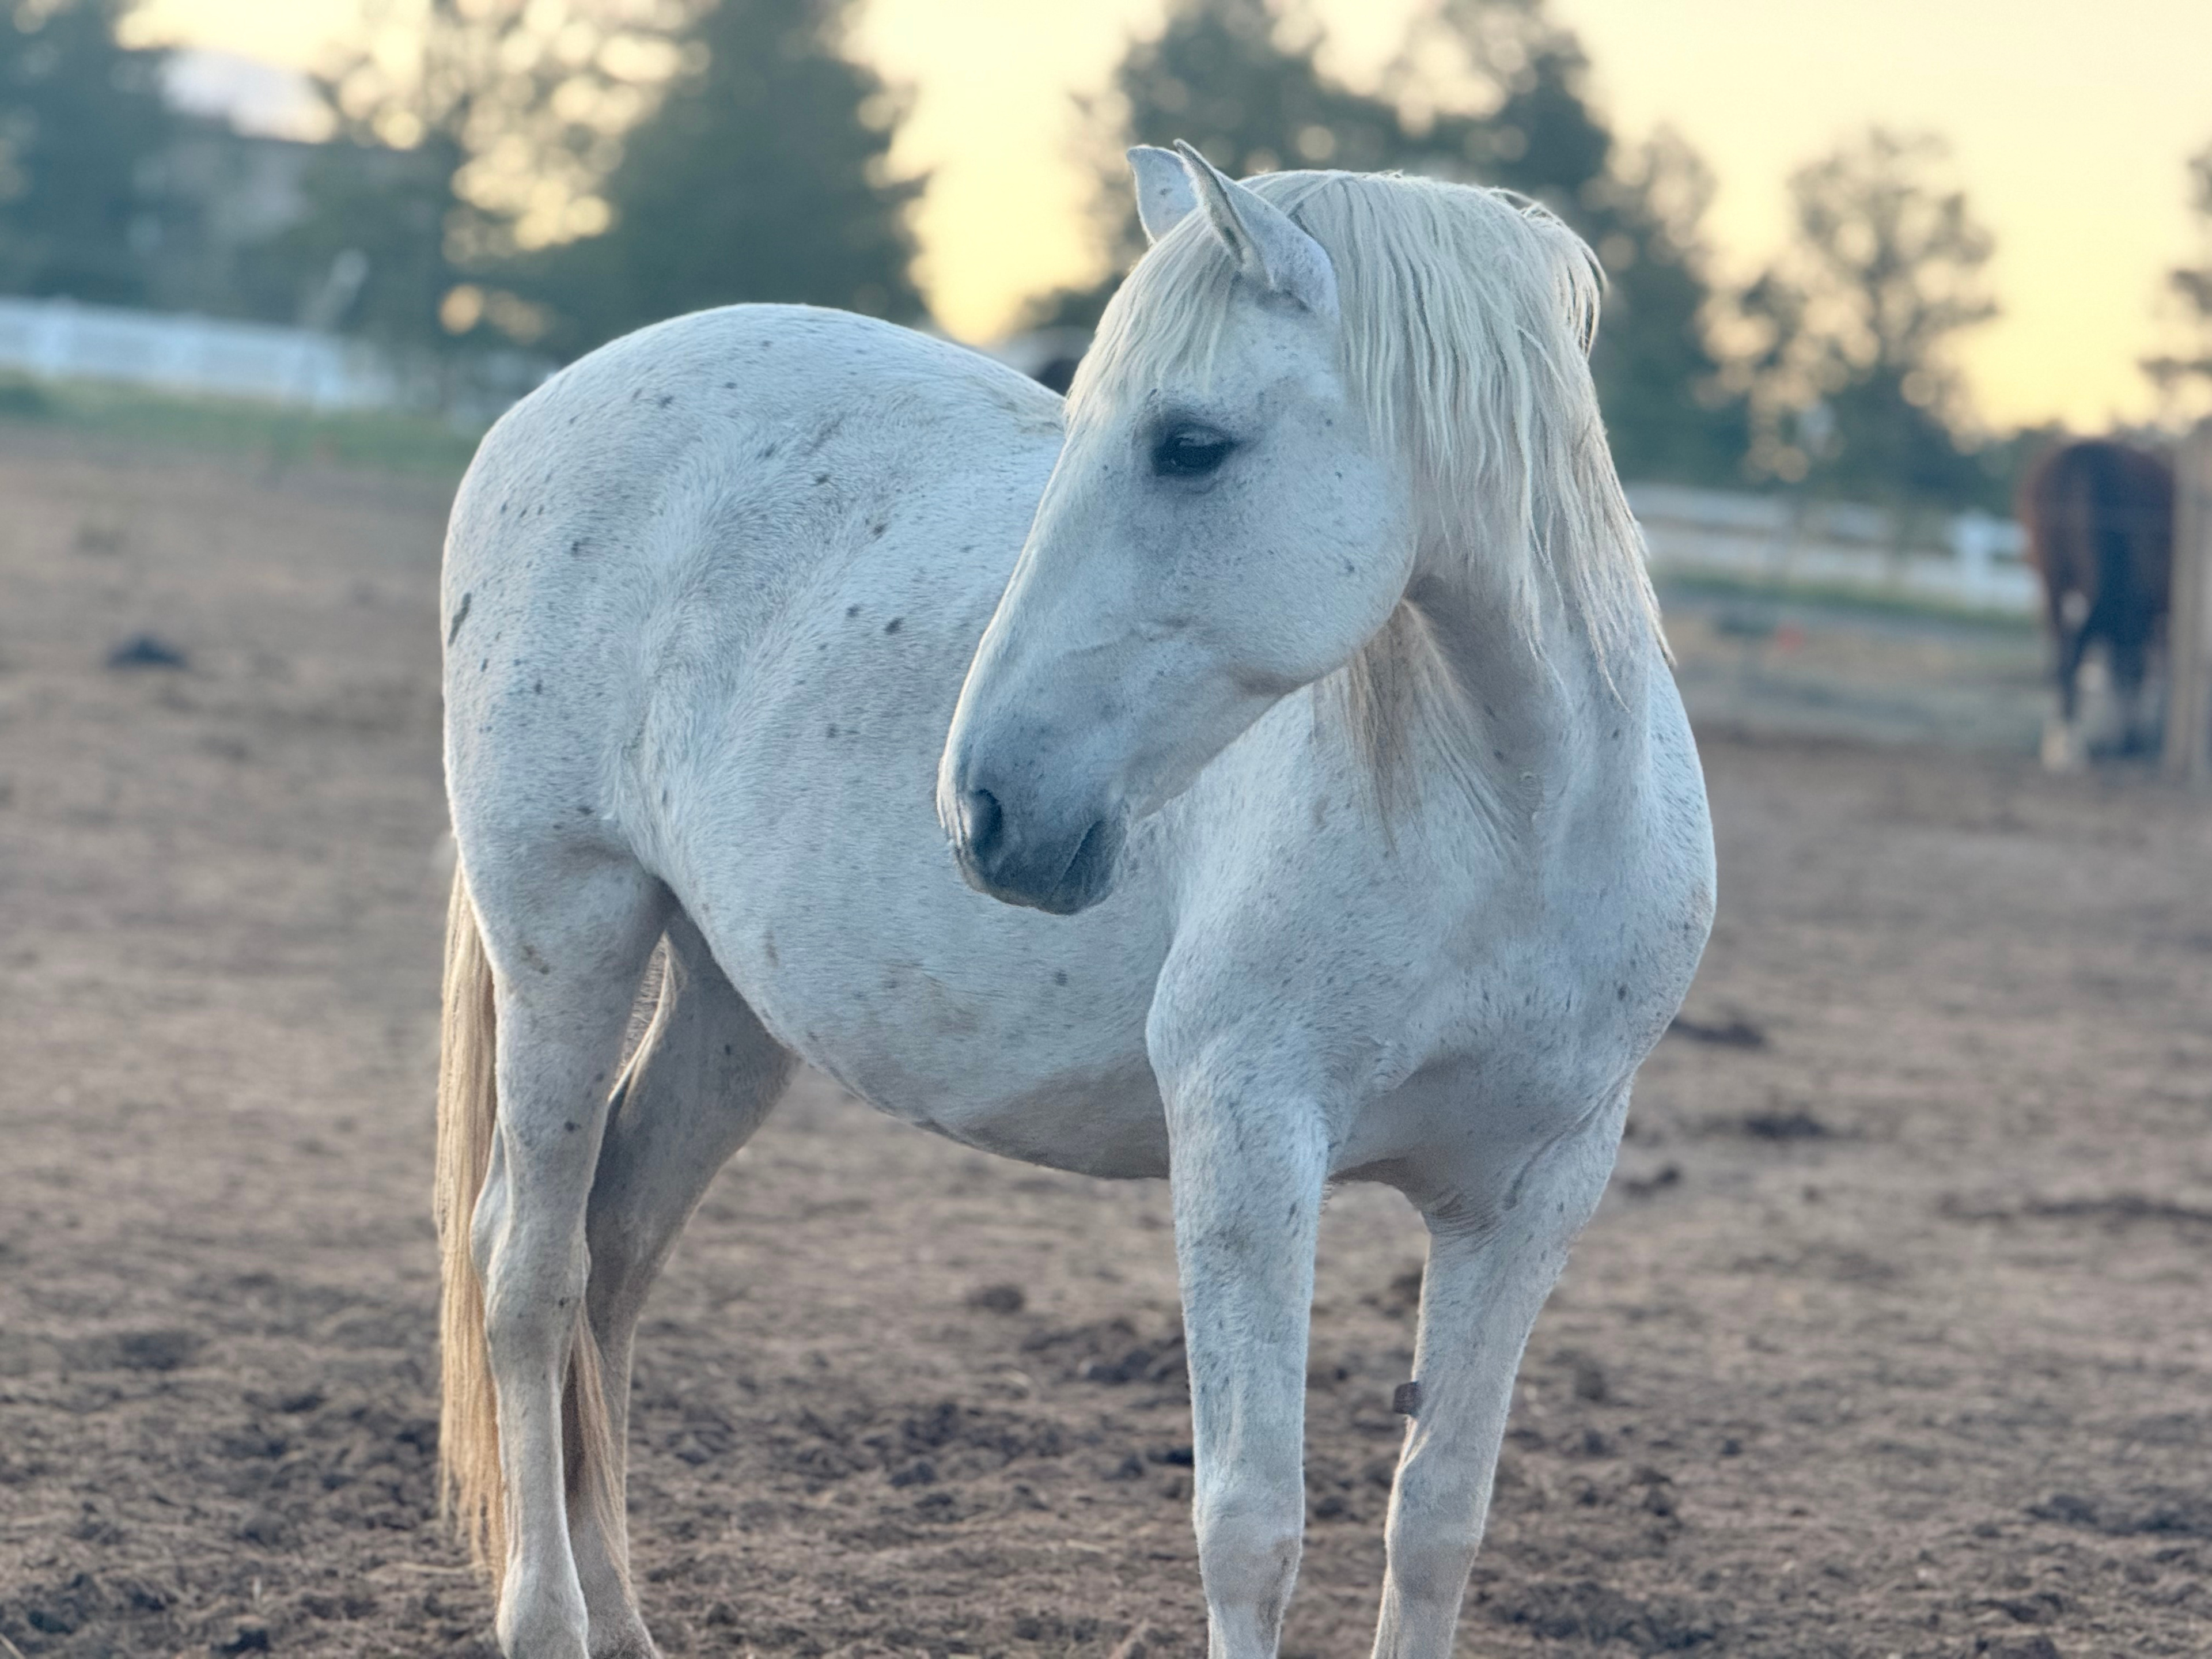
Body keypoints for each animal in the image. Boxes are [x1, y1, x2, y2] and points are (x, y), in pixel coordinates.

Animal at [433, 142, 1715, 1659]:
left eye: (1191, 444)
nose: (985, 807)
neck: (1514, 827)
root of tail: (548, 404)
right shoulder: (1246, 1137)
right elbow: (1250, 1527)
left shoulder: (1531, 1194)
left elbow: (1440, 1518)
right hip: (565, 930)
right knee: (531, 1266)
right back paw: (548, 1615)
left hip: (730, 1003)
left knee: (617, 1248)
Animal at [2017, 438, 2174, 768]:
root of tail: (2080, 455)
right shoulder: (2136, 611)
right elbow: (2130, 668)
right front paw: (2129, 740)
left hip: (2053, 582)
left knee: (2067, 654)